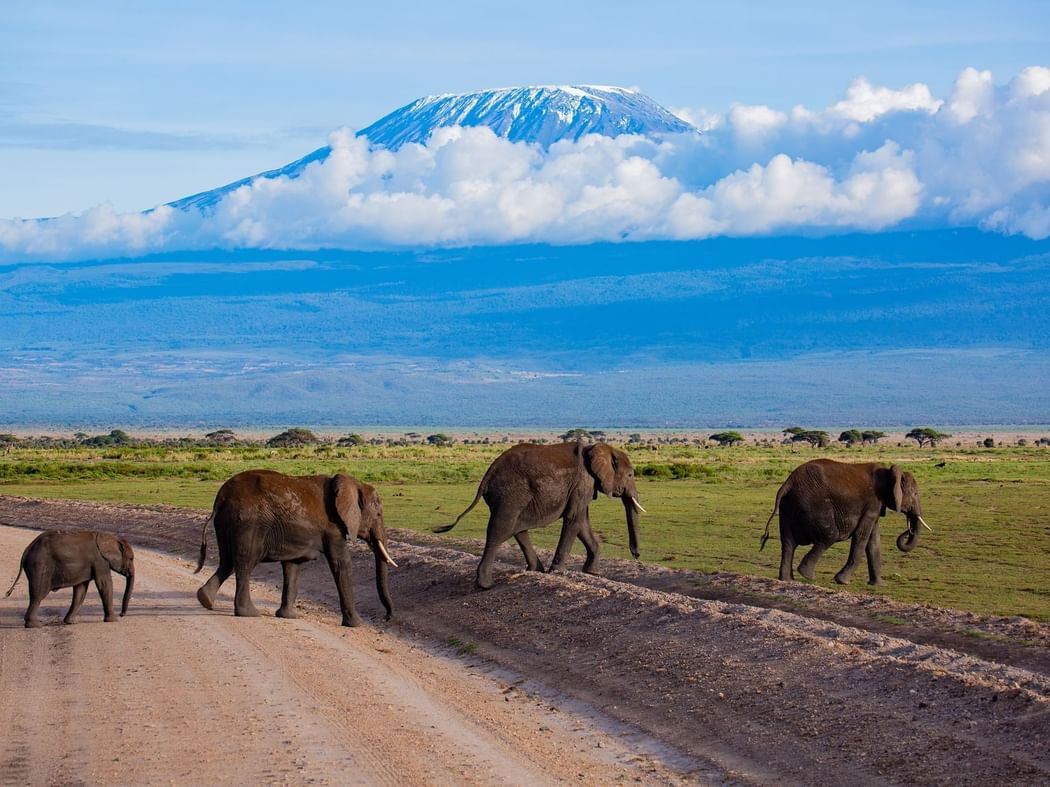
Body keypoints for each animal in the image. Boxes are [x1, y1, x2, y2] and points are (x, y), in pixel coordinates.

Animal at [4, 530, 135, 629]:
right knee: (38, 595)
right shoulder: (100, 562)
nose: (122, 614)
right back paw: (35, 625)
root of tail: (27, 549)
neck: (109, 537)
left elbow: (81, 589)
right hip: (39, 566)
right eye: (131, 558)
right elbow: (104, 584)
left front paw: (71, 622)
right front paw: (114, 620)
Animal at [194, 468, 396, 629]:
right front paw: (357, 625)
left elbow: (293, 566)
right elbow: (341, 563)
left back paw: (205, 600)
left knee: (227, 561)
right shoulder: (333, 528)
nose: (386, 617)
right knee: (245, 563)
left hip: (227, 523)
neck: (350, 483)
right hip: (248, 524)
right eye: (378, 514)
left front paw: (288, 617)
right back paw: (249, 613)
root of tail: (221, 498)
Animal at [430, 440, 642, 587]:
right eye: (630, 475)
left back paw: (536, 570)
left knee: (516, 528)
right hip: (510, 494)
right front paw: (557, 572)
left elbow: (581, 522)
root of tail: (487, 476)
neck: (596, 448)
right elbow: (574, 519)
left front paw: (592, 573)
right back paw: (485, 585)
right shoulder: (583, 482)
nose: (636, 554)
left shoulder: (583, 487)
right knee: (499, 530)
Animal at [760, 455, 932, 587]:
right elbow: (862, 538)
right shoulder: (872, 503)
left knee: (788, 543)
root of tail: (788, 483)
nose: (908, 530)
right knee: (829, 536)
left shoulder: (875, 507)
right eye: (915, 493)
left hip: (789, 506)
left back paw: (787, 580)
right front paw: (842, 581)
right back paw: (807, 575)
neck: (889, 473)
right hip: (813, 504)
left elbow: (873, 542)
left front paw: (879, 585)